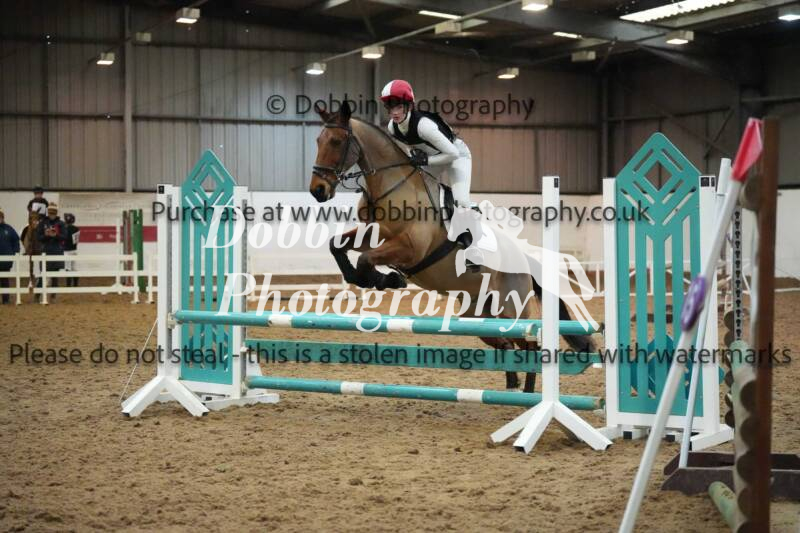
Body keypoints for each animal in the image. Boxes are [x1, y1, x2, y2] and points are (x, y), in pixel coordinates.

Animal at [308, 102, 596, 392]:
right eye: (318, 140)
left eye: (336, 141)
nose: (317, 190)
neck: (392, 187)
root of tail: (524, 259)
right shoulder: (374, 235)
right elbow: (337, 246)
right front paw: (371, 278)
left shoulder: (410, 248)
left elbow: (366, 259)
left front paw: (386, 279)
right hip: (477, 313)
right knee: (506, 344)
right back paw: (513, 385)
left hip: (511, 307)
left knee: (529, 345)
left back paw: (527, 393)